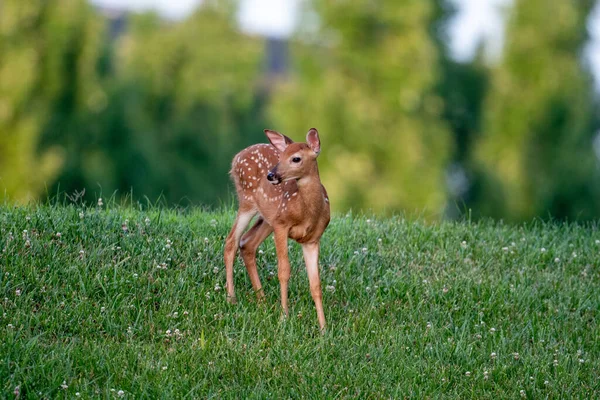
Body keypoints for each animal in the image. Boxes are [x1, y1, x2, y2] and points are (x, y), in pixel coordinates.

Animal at [224, 128, 330, 332]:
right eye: (280, 156)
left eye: (296, 158)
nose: (271, 175)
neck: (307, 213)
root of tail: (236, 157)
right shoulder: (281, 226)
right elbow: (284, 271)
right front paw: (284, 317)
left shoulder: (313, 239)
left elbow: (315, 284)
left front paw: (323, 327)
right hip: (248, 200)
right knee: (231, 241)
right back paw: (232, 298)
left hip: (267, 218)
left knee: (247, 243)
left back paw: (262, 300)